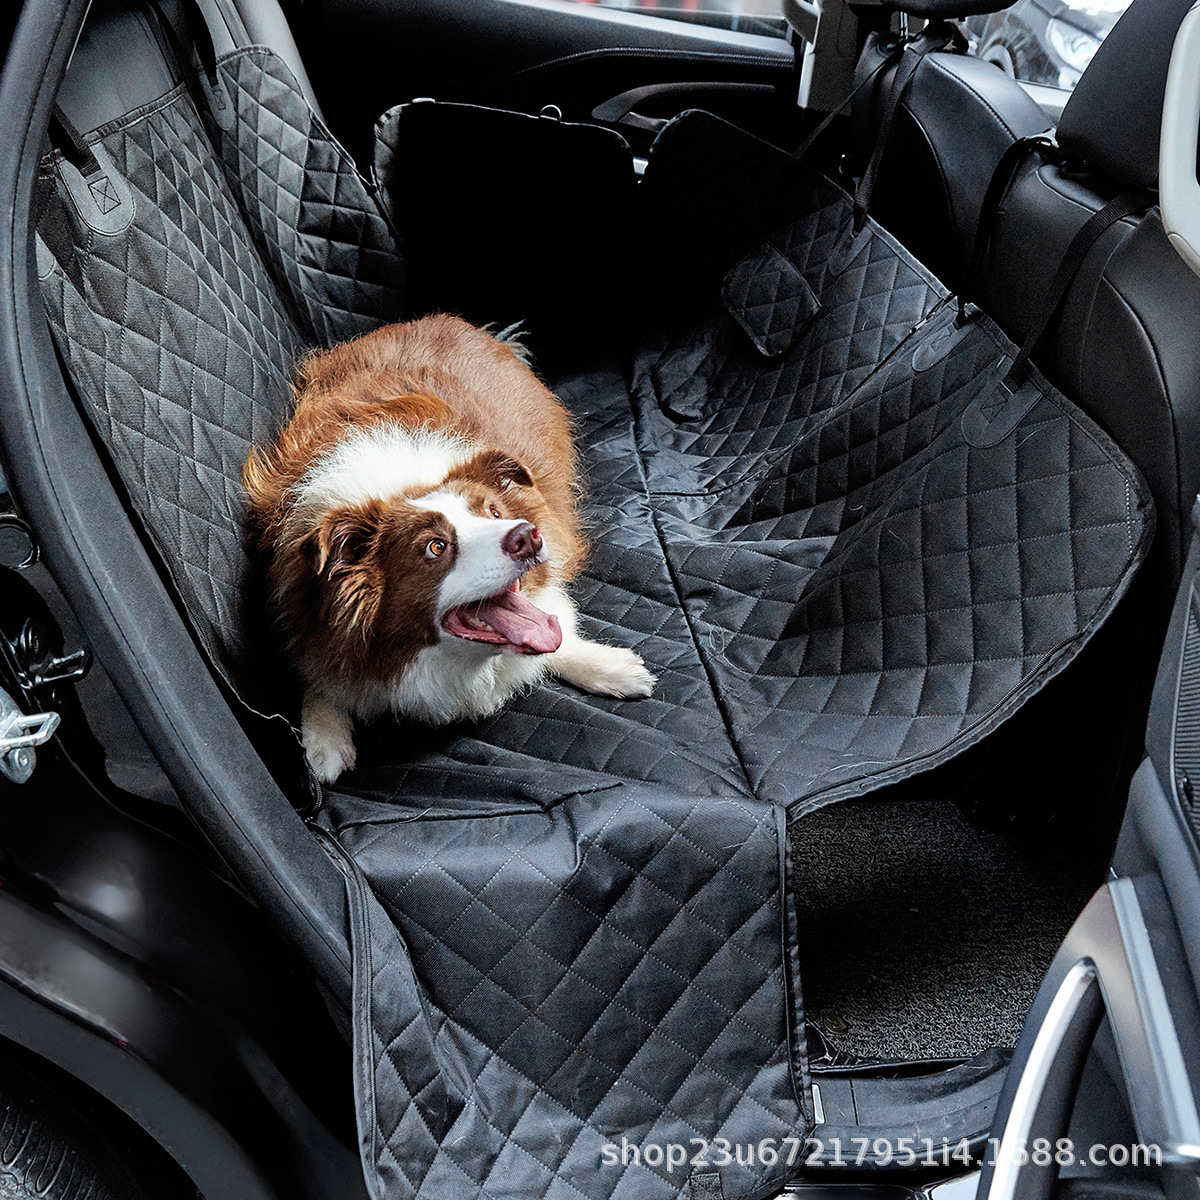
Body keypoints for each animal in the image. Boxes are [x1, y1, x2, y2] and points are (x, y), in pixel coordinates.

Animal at [243, 315, 655, 783]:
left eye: (494, 512)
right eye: (435, 547)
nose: (527, 536)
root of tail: (449, 320)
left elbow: (555, 630)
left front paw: (612, 667)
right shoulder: (295, 593)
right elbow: (317, 665)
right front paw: (323, 739)